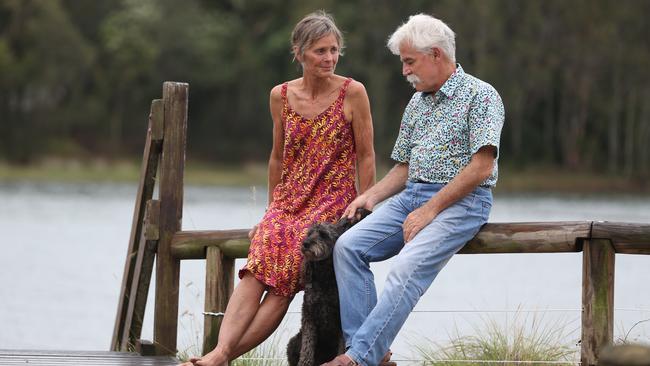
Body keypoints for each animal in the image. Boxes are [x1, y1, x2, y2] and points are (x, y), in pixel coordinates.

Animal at [284, 209, 370, 366]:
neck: (324, 278)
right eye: (309, 233)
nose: (305, 243)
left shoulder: (340, 320)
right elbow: (307, 346)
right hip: (293, 342)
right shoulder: (309, 316)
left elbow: (342, 346)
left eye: (323, 235)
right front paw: (305, 362)